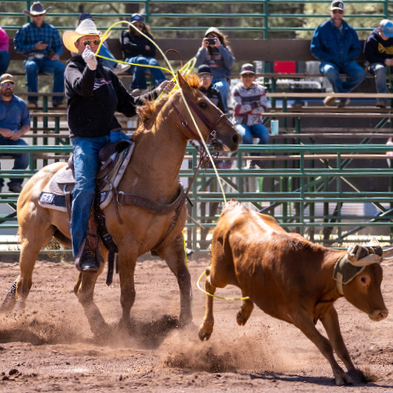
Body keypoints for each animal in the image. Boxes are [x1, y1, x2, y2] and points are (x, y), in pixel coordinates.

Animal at [0, 73, 239, 334]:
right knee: (26, 284)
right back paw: (24, 322)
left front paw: (186, 324)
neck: (146, 174)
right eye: (203, 103)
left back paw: (100, 329)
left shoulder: (172, 242)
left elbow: (184, 281)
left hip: (96, 252)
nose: (235, 136)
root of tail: (34, 181)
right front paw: (126, 332)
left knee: (79, 290)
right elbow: (128, 294)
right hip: (32, 241)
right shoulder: (128, 247)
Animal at [198, 201, 388, 384]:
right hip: (220, 272)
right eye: (363, 279)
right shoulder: (299, 316)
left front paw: (355, 373)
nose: (383, 313)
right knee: (208, 278)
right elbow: (324, 344)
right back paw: (205, 328)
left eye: (381, 277)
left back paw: (243, 312)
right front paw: (340, 374)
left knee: (245, 288)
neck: (311, 271)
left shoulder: (328, 311)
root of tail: (235, 207)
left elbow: (340, 345)